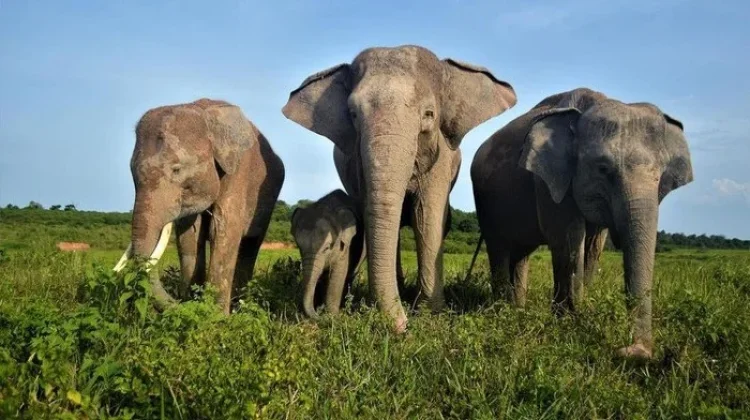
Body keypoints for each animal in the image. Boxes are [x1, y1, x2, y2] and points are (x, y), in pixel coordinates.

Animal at [114, 98, 285, 314]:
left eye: (176, 170)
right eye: (132, 172)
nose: (178, 304)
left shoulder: (238, 170)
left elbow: (222, 229)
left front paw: (217, 317)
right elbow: (190, 234)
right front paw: (194, 306)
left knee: (251, 244)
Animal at [291, 189, 365, 318]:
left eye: (327, 248)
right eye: (299, 247)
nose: (318, 314)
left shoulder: (346, 246)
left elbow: (338, 274)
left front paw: (332, 316)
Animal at [470, 88, 693, 359]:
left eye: (660, 177)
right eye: (603, 169)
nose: (634, 352)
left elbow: (593, 247)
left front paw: (578, 316)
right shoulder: (547, 181)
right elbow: (568, 239)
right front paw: (568, 323)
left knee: (521, 255)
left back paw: (517, 309)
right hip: (488, 205)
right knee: (500, 249)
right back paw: (504, 312)